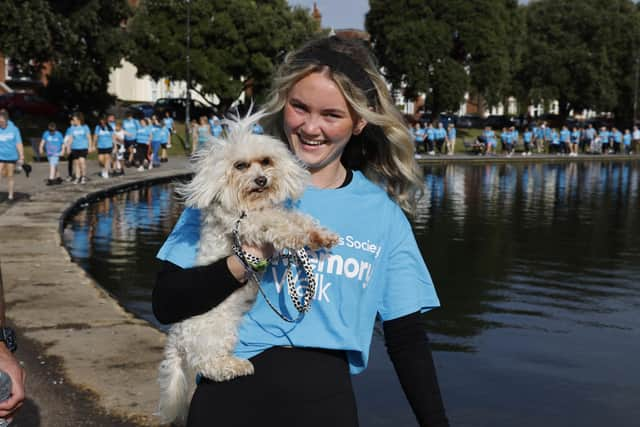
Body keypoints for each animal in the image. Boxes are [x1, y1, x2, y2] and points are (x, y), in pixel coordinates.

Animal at [158, 113, 338, 424]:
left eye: (266, 161)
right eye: (240, 165)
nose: (261, 179)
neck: (250, 204)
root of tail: (177, 338)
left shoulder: (269, 212)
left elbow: (296, 217)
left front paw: (319, 235)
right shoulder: (247, 225)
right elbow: (278, 222)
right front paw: (296, 236)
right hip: (217, 332)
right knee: (209, 364)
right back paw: (237, 366)